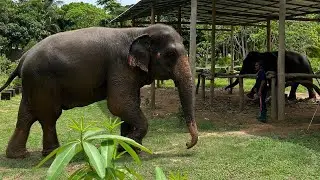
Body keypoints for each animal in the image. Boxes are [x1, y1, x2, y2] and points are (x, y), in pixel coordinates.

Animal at [0, 23, 199, 158]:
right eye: (170, 55)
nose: (187, 144)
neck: (139, 30)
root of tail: (23, 58)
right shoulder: (120, 65)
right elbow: (119, 104)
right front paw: (128, 145)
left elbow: (129, 104)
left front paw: (129, 149)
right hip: (42, 81)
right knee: (48, 116)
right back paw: (52, 153)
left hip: (32, 84)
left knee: (26, 116)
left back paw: (18, 155)